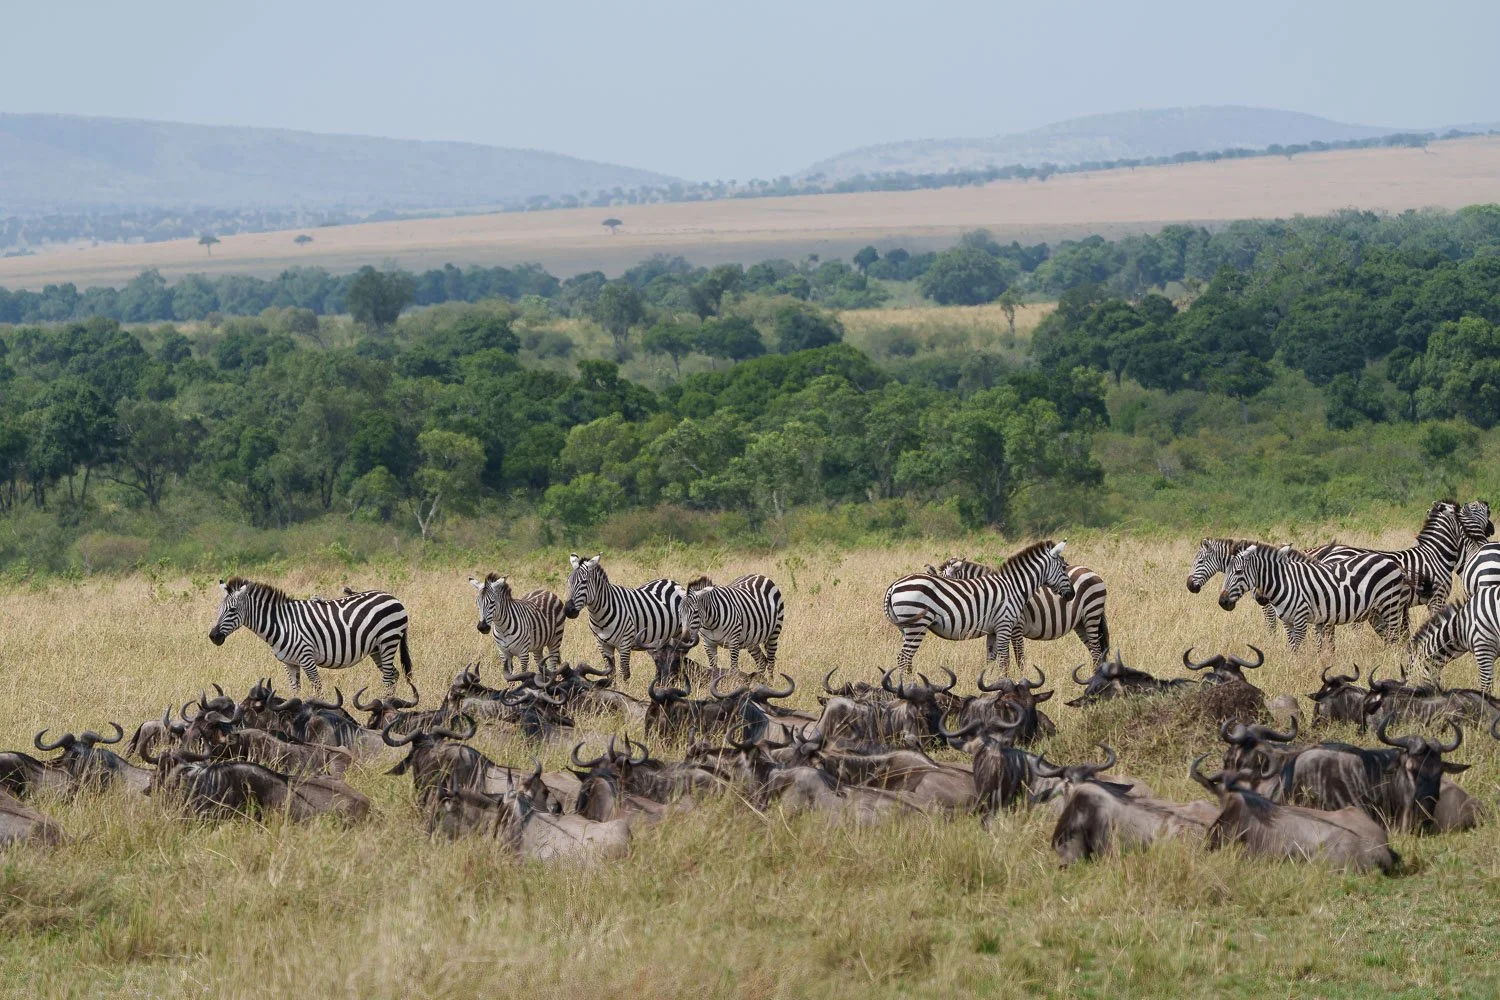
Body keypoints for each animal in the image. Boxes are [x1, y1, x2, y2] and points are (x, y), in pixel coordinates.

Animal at [208, 577, 412, 694]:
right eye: (218, 609)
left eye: (232, 610)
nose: (213, 636)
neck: (281, 623)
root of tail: (393, 597)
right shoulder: (289, 663)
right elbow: (295, 692)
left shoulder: (306, 658)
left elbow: (317, 688)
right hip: (376, 648)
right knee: (393, 674)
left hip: (388, 640)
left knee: (388, 677)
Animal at [563, 554, 687, 683]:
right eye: (568, 582)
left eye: (584, 582)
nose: (568, 610)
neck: (599, 616)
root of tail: (672, 581)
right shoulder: (602, 644)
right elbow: (610, 672)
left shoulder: (625, 643)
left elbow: (624, 672)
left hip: (678, 635)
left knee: (679, 660)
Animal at [883, 540, 1072, 676]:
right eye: (1064, 568)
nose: (1072, 595)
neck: (1014, 586)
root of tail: (893, 586)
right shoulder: (1005, 625)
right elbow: (1005, 661)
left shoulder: (993, 631)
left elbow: (991, 660)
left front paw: (989, 683)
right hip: (917, 625)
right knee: (904, 658)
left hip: (906, 628)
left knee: (905, 660)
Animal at [931, 556, 1109, 669]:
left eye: (947, 585)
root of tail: (1090, 571)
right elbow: (993, 660)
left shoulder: (1016, 627)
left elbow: (1018, 659)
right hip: (1080, 623)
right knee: (1096, 652)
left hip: (1091, 615)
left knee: (1097, 651)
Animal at [1219, 544, 1415, 652]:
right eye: (1226, 572)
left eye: (1238, 572)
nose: (1222, 602)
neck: (1285, 582)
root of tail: (1393, 562)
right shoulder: (1288, 622)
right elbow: (1293, 648)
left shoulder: (1300, 619)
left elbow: (1299, 647)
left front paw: (1298, 670)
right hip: (1376, 611)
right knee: (1389, 638)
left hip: (1390, 604)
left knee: (1395, 636)